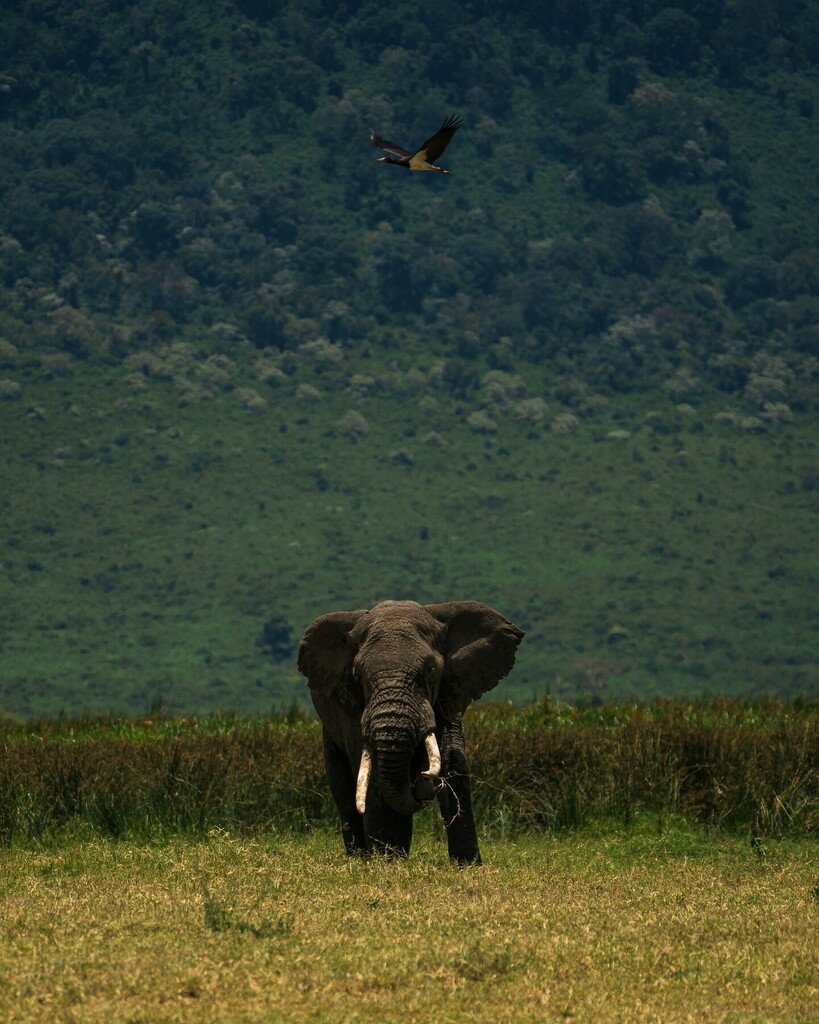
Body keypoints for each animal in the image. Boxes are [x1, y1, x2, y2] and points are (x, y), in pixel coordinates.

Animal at [297, 599, 524, 864]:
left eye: (431, 669)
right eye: (357, 675)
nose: (423, 781)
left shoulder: (450, 690)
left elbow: (453, 759)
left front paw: (467, 865)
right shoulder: (351, 706)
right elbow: (372, 776)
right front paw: (384, 863)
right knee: (344, 790)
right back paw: (365, 857)